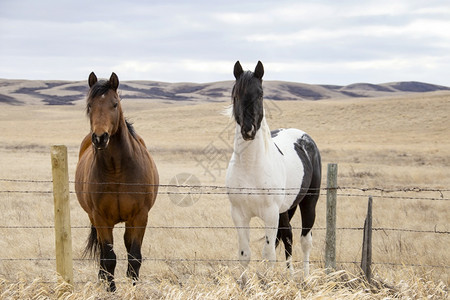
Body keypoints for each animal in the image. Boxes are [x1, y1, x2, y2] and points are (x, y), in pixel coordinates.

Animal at [74, 72, 158, 290]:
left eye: (114, 104)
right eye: (89, 105)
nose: (100, 138)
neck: (117, 170)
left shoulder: (139, 217)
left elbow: (134, 257)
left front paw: (134, 289)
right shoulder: (101, 219)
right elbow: (109, 258)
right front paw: (111, 290)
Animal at [227, 60, 322, 276]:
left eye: (260, 94)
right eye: (236, 95)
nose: (248, 130)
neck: (250, 167)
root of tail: (304, 138)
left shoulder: (270, 213)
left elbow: (268, 254)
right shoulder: (239, 215)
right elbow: (244, 254)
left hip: (309, 202)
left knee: (305, 241)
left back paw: (306, 277)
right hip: (285, 209)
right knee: (288, 237)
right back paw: (290, 275)